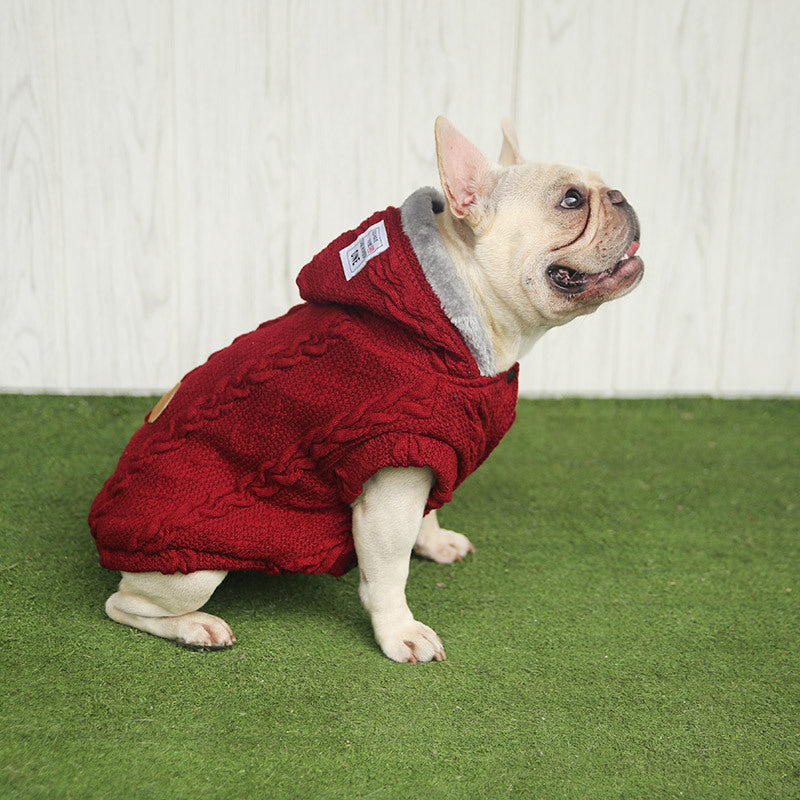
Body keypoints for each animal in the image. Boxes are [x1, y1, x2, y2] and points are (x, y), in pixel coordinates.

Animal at [89, 117, 644, 664]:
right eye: (570, 200)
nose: (620, 195)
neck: (462, 314)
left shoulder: (432, 453)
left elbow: (428, 512)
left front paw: (433, 543)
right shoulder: (393, 472)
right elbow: (389, 572)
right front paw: (399, 632)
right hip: (191, 570)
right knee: (122, 605)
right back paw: (194, 627)